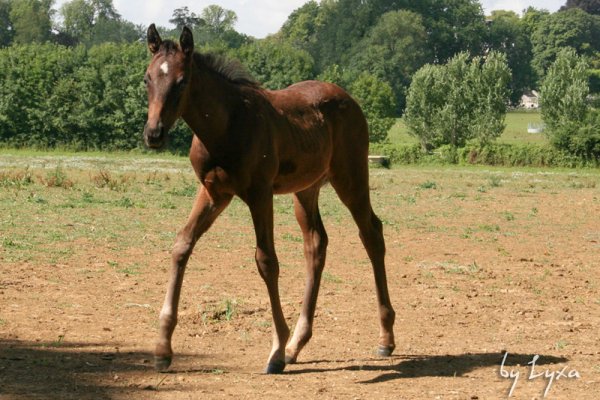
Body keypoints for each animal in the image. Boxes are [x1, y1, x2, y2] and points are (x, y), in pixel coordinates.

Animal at [142, 25, 394, 376]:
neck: (226, 125)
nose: (154, 134)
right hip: (306, 189)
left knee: (371, 233)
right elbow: (182, 244)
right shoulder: (214, 192)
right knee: (316, 243)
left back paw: (385, 337)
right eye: (147, 78)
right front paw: (162, 349)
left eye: (181, 81)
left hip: (351, 177)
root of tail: (349, 99)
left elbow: (267, 261)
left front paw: (274, 351)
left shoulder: (259, 193)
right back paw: (297, 344)